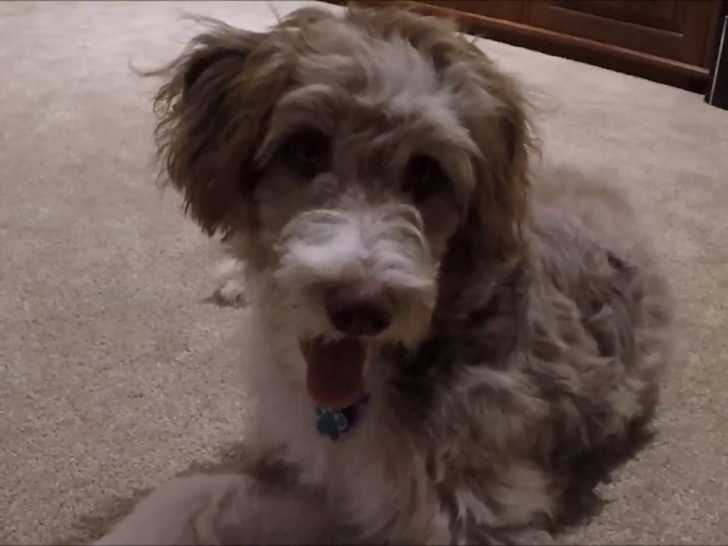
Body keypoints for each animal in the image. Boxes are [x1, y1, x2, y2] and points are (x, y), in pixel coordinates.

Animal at [97, 5, 673, 544]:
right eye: (305, 149)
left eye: (426, 171)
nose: (360, 309)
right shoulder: (311, 470)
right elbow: (194, 496)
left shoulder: (470, 511)